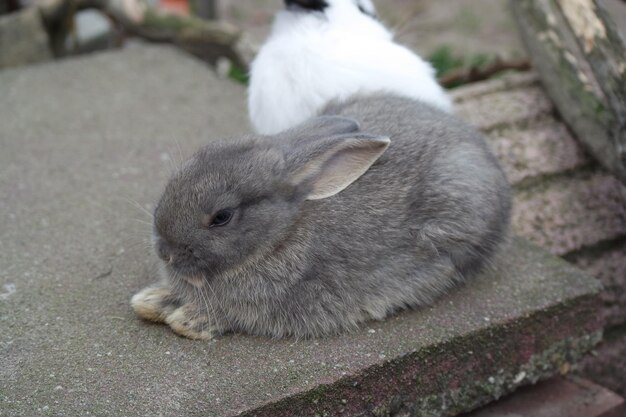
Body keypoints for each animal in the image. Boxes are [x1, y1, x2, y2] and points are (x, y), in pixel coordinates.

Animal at [129, 95, 510, 338]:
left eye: (222, 217)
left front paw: (188, 320)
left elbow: (232, 316)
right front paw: (150, 301)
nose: (165, 251)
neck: (280, 235)